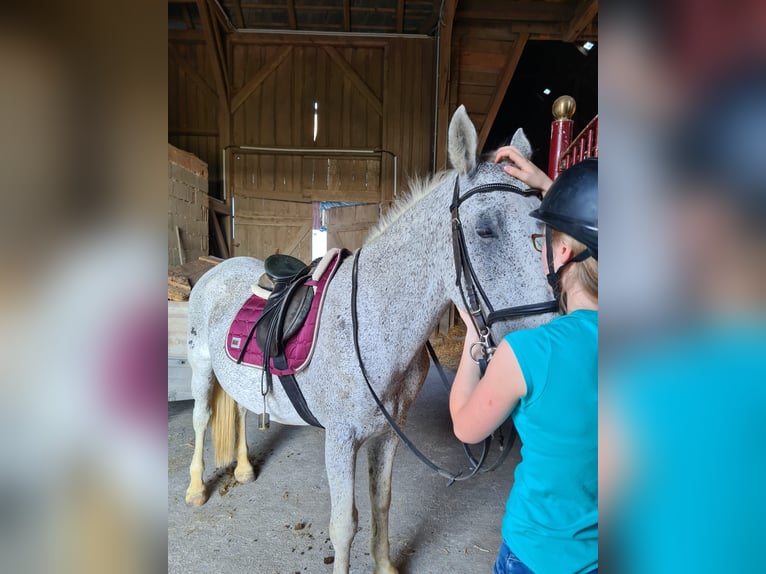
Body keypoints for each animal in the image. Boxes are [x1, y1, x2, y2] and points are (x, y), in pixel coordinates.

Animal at [186, 104, 560, 574]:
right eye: (485, 230)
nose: (549, 347)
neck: (372, 324)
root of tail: (219, 268)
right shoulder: (340, 440)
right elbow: (345, 525)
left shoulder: (388, 434)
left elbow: (382, 503)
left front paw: (385, 564)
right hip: (202, 367)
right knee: (201, 419)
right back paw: (196, 489)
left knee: (237, 408)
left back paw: (242, 470)